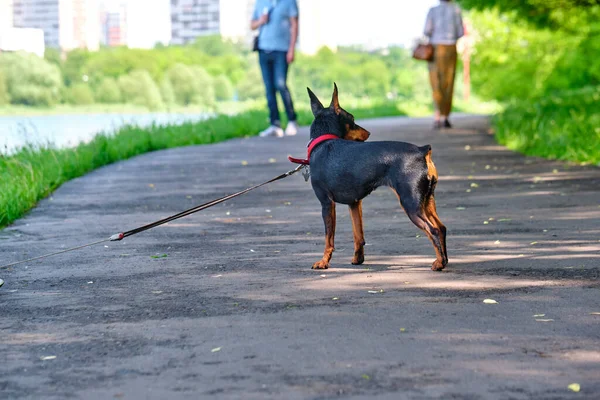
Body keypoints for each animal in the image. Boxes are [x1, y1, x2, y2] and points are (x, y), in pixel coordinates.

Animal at [302, 84, 448, 272]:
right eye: (352, 119)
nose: (368, 133)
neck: (323, 142)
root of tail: (422, 151)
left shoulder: (327, 203)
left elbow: (329, 238)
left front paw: (323, 262)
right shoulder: (354, 203)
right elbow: (358, 235)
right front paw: (358, 259)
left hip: (411, 204)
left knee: (433, 230)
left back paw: (439, 263)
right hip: (427, 200)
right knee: (441, 227)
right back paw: (444, 260)